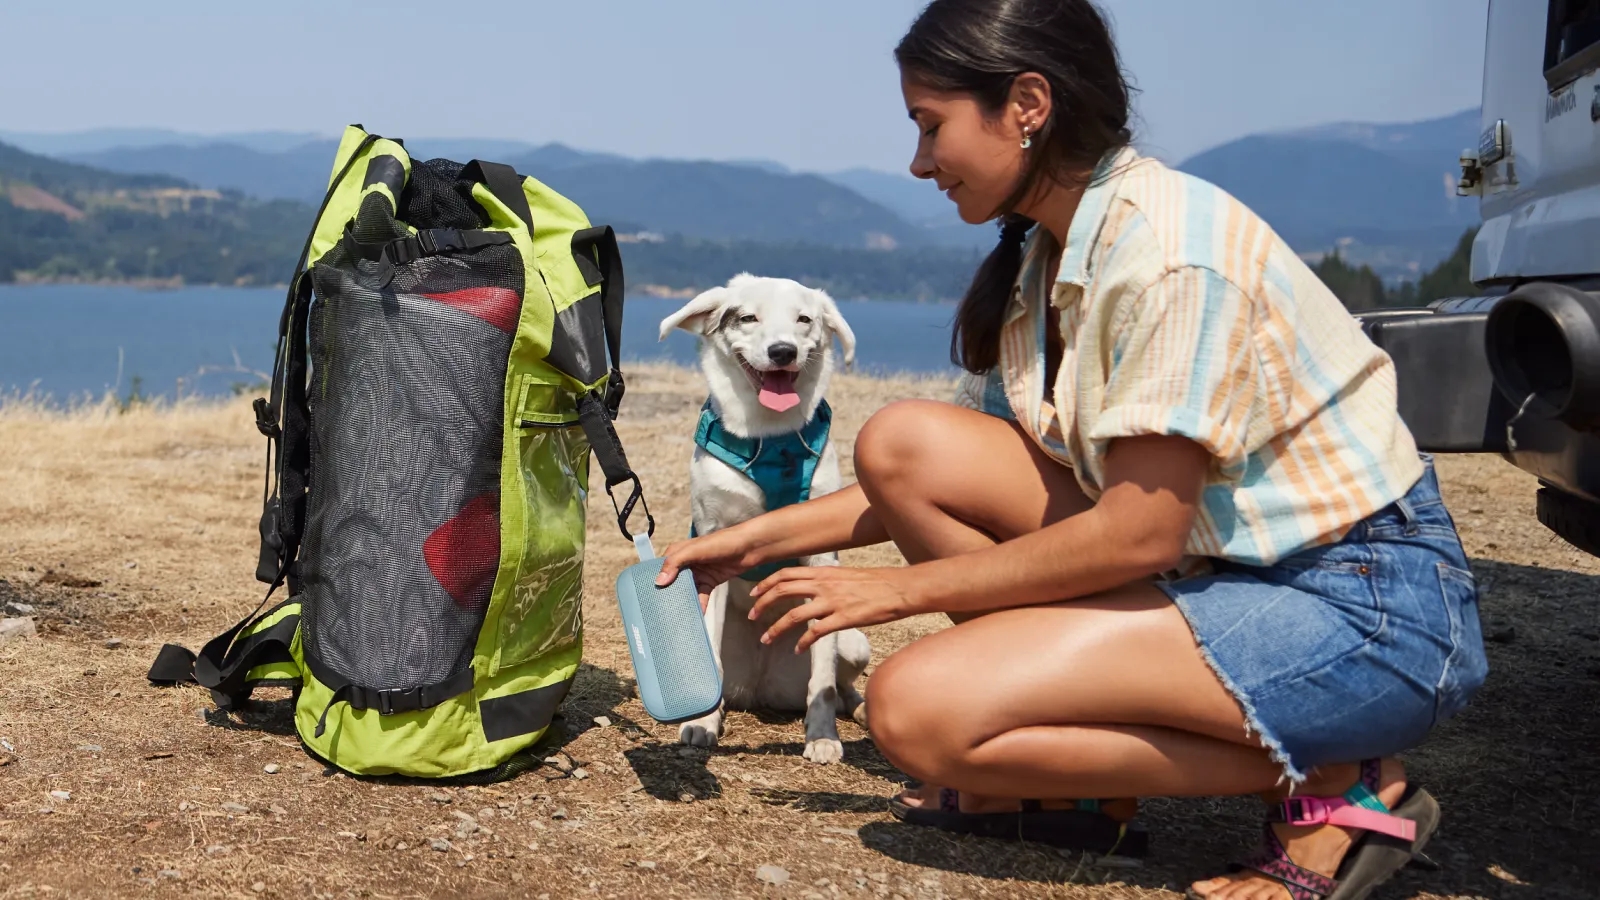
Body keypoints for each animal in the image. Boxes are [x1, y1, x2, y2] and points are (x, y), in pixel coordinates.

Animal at [656, 275, 870, 762]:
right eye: (748, 317)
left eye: (804, 319)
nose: (783, 351)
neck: (768, 437)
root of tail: (759, 686)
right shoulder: (712, 548)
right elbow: (711, 660)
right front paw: (703, 724)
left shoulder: (821, 560)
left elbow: (823, 681)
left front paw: (822, 736)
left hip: (856, 642)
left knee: (843, 685)